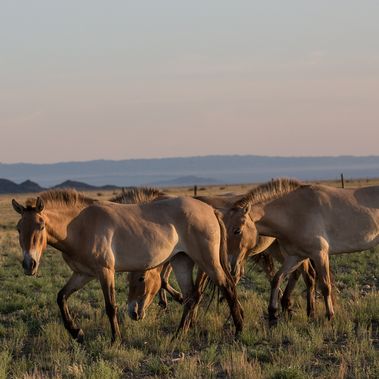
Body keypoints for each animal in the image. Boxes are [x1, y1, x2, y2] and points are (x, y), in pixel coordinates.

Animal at [11, 190, 245, 342]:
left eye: (41, 226)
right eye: (19, 228)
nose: (29, 264)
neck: (79, 226)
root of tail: (211, 210)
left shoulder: (105, 272)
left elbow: (110, 306)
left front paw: (116, 339)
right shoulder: (83, 274)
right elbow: (61, 297)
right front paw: (76, 332)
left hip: (207, 261)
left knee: (227, 287)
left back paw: (238, 331)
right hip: (182, 261)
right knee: (190, 297)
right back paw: (180, 335)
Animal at [224, 178, 379, 324]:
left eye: (237, 231)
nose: (230, 266)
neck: (294, 214)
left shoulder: (320, 254)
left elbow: (325, 286)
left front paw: (330, 316)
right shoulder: (295, 257)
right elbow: (277, 279)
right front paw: (273, 314)